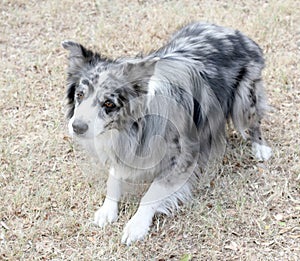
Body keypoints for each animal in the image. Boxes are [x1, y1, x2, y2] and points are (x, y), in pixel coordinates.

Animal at [62, 21, 272, 244]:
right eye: (79, 95)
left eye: (109, 103)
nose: (77, 127)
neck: (134, 127)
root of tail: (233, 31)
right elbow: (114, 177)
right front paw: (107, 209)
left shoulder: (183, 157)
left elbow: (152, 193)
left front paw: (136, 226)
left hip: (244, 99)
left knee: (254, 120)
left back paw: (260, 147)